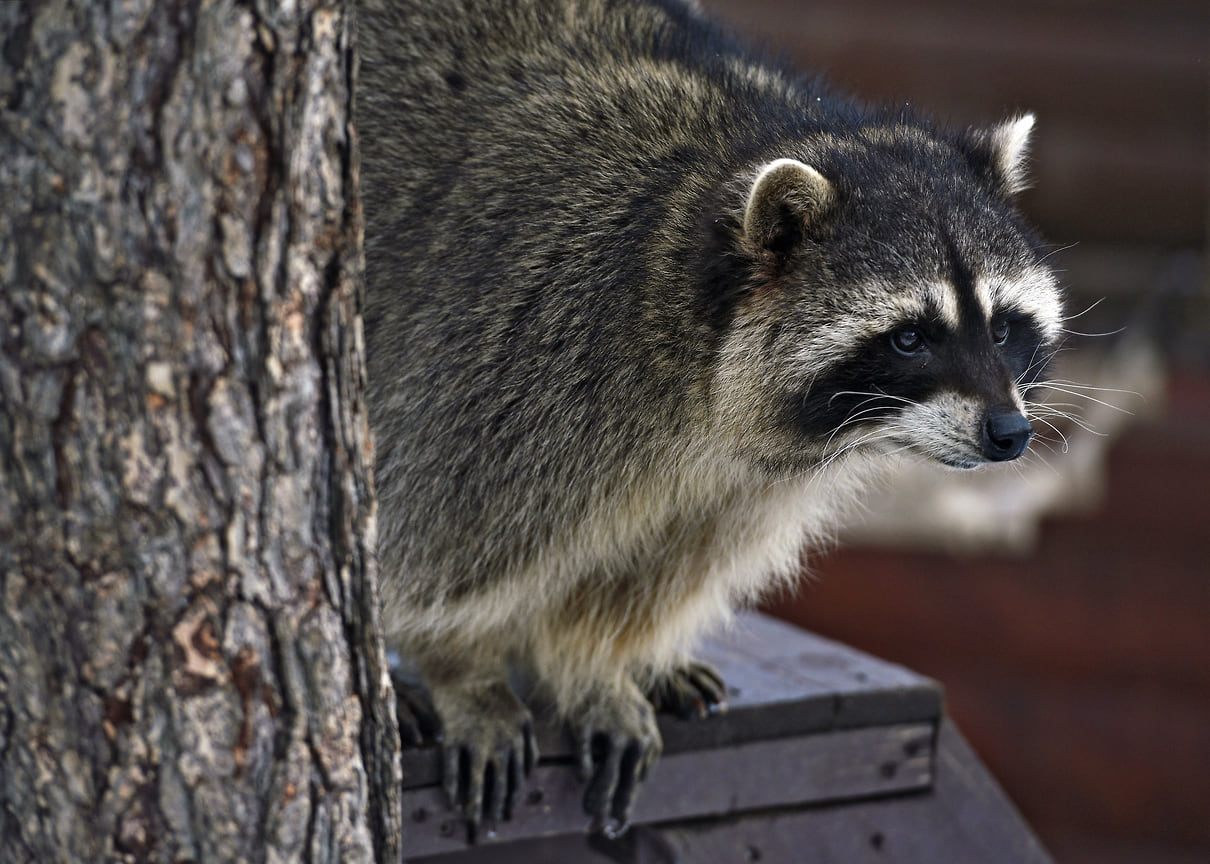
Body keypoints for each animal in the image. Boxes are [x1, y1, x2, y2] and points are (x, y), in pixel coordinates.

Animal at [353, 0, 1064, 832]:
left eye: (1003, 327)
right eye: (911, 337)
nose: (1009, 434)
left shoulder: (745, 484)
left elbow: (657, 570)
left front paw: (597, 669)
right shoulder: (517, 352)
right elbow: (436, 542)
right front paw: (463, 670)